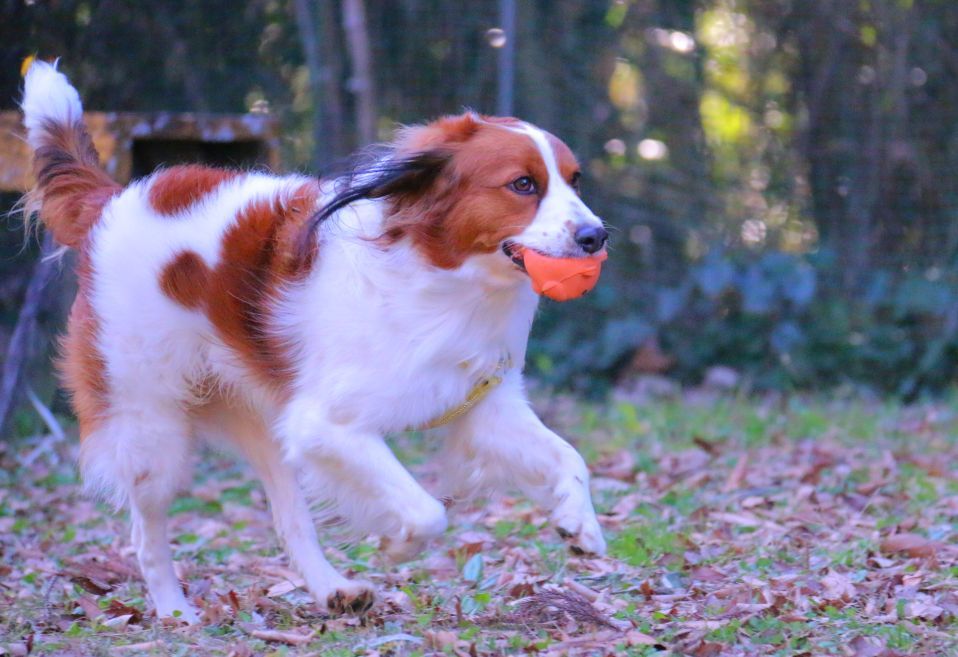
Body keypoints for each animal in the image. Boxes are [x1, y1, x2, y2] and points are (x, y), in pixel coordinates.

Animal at [20, 60, 608, 620]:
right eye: (523, 185)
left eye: (575, 181)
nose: (596, 236)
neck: (443, 279)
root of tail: (113, 200)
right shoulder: (326, 425)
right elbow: (428, 511)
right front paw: (398, 544)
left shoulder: (481, 406)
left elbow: (570, 457)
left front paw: (578, 522)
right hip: (151, 428)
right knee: (148, 532)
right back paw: (174, 611)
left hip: (262, 422)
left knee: (289, 520)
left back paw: (333, 591)